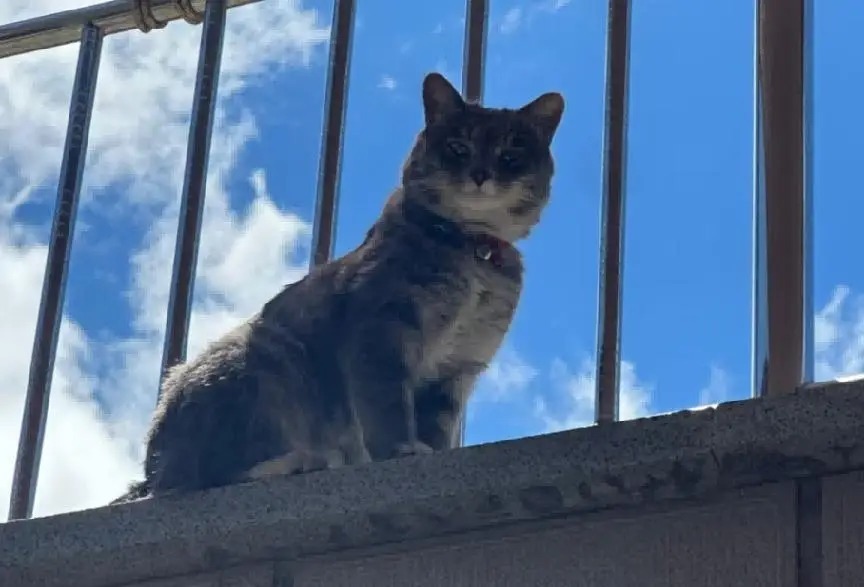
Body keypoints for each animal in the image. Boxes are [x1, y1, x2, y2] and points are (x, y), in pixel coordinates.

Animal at [112, 72, 564, 503]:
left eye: (511, 155)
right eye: (457, 146)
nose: (481, 175)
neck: (471, 250)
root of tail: (151, 468)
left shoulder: (457, 370)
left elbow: (436, 427)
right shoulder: (381, 333)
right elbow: (388, 408)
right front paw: (403, 450)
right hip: (266, 369)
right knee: (206, 477)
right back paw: (302, 462)